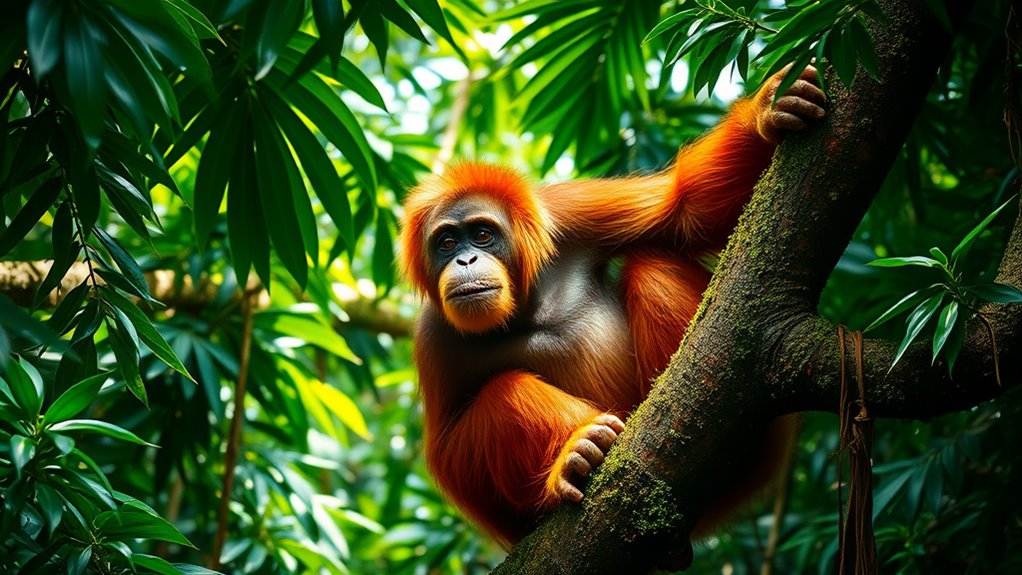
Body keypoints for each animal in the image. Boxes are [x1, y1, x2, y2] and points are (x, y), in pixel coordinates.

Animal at [398, 66, 826, 547]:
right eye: (447, 243)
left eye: (483, 235)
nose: (465, 260)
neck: (527, 303)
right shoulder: (433, 336)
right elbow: (448, 456)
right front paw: (567, 460)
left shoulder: (568, 212)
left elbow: (683, 211)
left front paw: (767, 111)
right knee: (502, 392)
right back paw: (579, 454)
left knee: (651, 261)